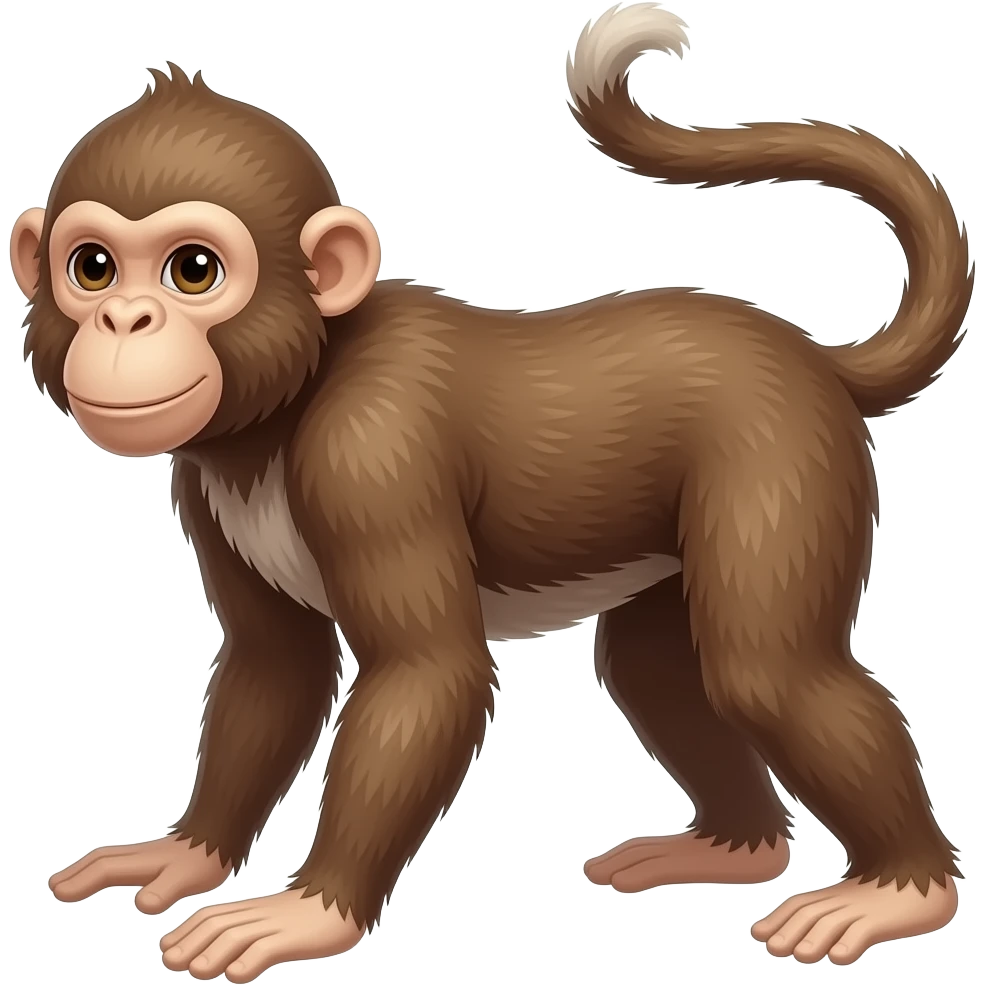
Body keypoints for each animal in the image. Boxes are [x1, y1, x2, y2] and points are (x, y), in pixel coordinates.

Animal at [13, 3, 973, 979]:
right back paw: (733, 848)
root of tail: (815, 359)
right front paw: (187, 851)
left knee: (766, 673)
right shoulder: (204, 484)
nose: (125, 319)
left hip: (778, 461)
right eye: (92, 267)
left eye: (193, 271)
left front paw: (309, 911)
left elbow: (427, 674)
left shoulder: (372, 451)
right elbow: (273, 667)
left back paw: (901, 890)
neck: (288, 401)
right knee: (657, 670)